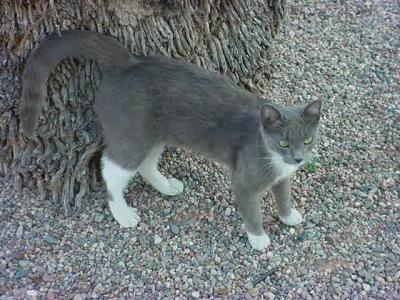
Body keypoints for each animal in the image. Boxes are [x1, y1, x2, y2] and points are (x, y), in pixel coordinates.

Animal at [19, 30, 322, 251]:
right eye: (283, 143)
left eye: (308, 140)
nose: (298, 158)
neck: (273, 158)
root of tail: (128, 62)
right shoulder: (245, 182)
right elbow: (252, 210)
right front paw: (259, 238)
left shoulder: (283, 176)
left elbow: (283, 194)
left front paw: (288, 216)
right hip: (131, 135)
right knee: (112, 167)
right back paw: (123, 213)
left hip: (154, 134)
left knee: (146, 165)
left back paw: (167, 186)